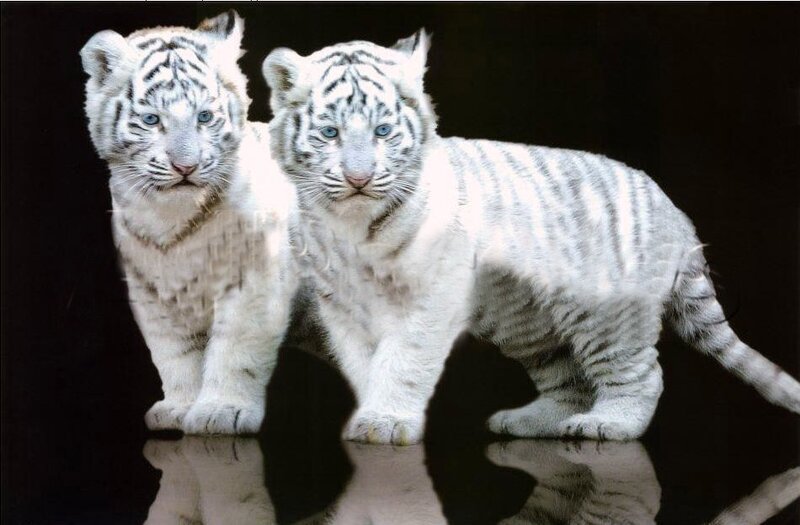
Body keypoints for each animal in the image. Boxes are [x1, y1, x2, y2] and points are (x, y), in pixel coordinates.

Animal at [81, 11, 297, 434]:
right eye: (151, 120)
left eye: (205, 117)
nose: (186, 167)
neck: (172, 220)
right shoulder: (150, 290)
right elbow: (174, 354)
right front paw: (179, 407)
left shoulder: (254, 278)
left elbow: (235, 346)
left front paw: (222, 411)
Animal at [260, 29, 800, 445]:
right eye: (330, 133)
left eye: (383, 132)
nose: (358, 179)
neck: (352, 225)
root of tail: (674, 210)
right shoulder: (342, 303)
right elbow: (363, 361)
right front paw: (372, 413)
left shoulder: (431, 295)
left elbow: (405, 357)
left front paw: (386, 421)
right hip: (528, 318)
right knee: (569, 379)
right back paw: (527, 421)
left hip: (607, 312)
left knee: (641, 374)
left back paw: (608, 425)